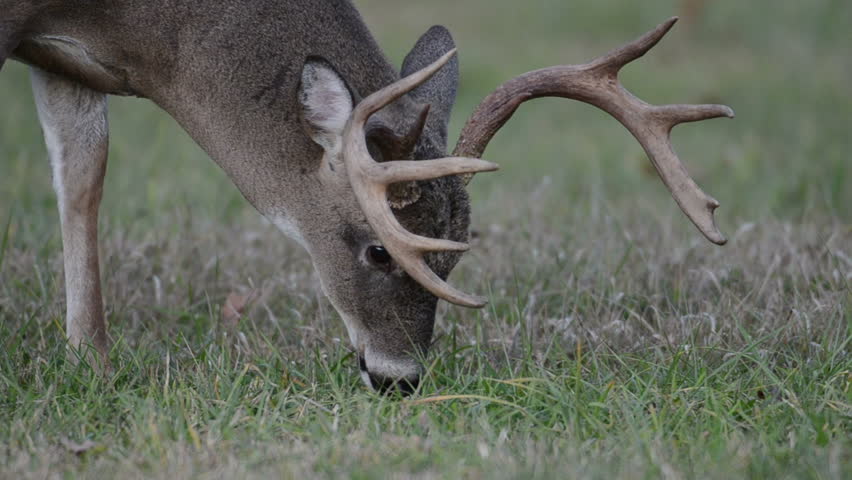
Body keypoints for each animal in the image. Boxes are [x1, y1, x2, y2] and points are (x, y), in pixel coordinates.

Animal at [0, 0, 732, 394]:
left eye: (454, 256)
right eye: (380, 250)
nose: (398, 379)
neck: (141, 31)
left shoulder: (67, 62)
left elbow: (83, 176)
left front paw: (90, 362)